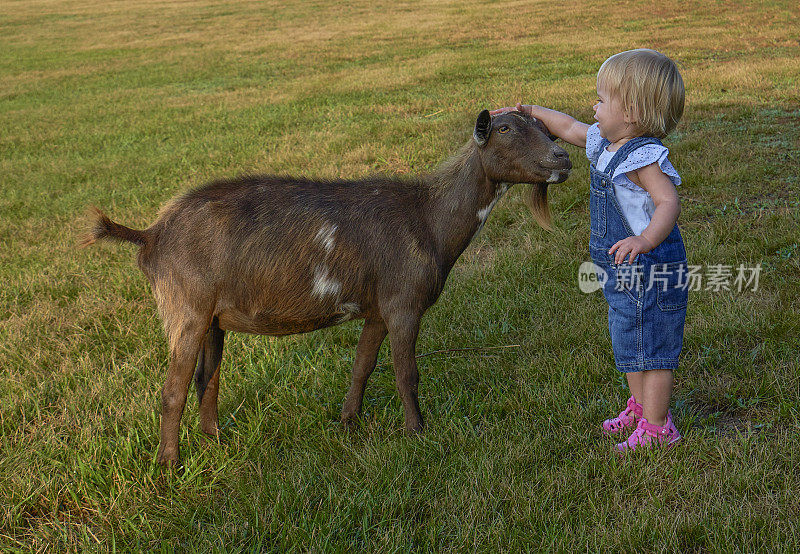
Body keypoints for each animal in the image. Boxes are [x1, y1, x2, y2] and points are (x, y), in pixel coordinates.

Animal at [84, 110, 572, 464]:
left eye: (545, 127)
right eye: (505, 128)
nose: (562, 159)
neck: (428, 219)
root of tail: (150, 235)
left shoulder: (376, 307)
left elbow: (363, 365)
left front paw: (349, 423)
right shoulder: (404, 302)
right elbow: (406, 373)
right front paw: (418, 434)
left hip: (212, 318)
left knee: (207, 377)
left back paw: (216, 441)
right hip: (186, 307)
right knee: (173, 389)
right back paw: (170, 464)